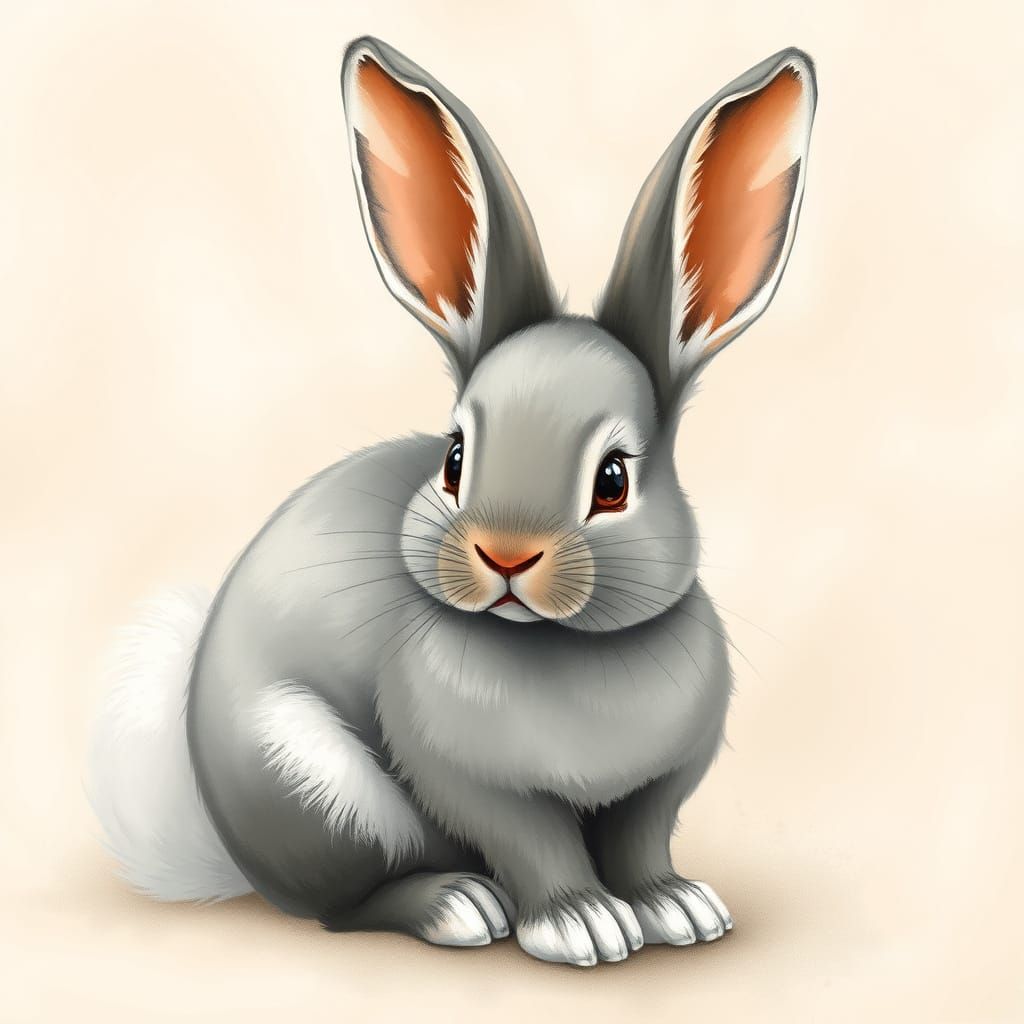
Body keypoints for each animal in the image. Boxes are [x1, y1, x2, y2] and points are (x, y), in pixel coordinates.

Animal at [89, 35, 816, 967]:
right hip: (322, 792)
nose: (505, 555)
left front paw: (676, 908)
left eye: (614, 478)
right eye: (455, 458)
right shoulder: (468, 780)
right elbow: (533, 842)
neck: (556, 648)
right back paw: (457, 905)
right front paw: (582, 924)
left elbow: (642, 841)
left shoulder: (661, 786)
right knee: (347, 906)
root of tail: (230, 848)